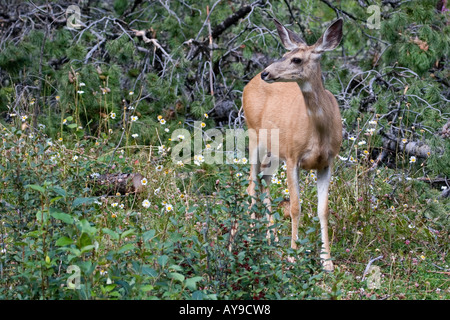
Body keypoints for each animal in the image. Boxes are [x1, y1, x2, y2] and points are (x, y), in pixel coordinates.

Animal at [243, 18, 344, 272]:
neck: (318, 131)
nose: (266, 72)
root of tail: (248, 84)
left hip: (273, 151)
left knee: (264, 180)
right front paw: (293, 256)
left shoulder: (327, 162)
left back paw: (272, 240)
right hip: (253, 135)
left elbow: (323, 210)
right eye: (284, 54)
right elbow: (296, 207)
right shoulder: (292, 156)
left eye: (296, 59)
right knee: (251, 184)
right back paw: (249, 238)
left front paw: (327, 262)